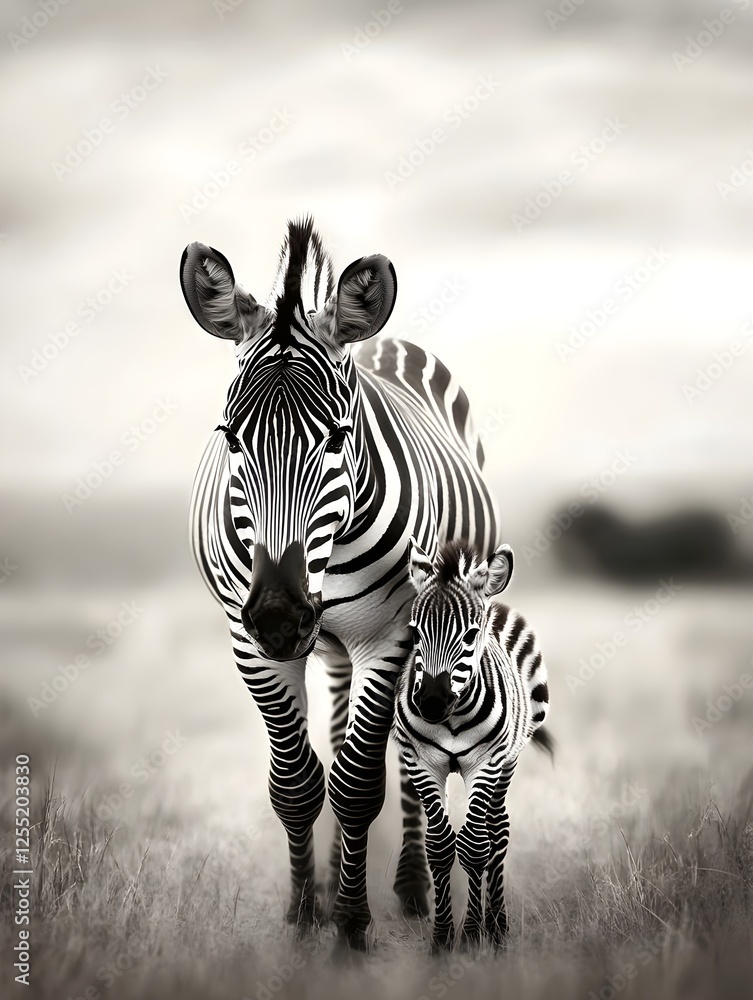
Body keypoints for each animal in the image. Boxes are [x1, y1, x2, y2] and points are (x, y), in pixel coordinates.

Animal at [180, 217, 499, 950]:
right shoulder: (247, 636)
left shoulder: (390, 632)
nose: (280, 615)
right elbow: (299, 783)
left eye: (336, 438)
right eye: (230, 439)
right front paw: (306, 912)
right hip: (327, 649)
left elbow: (358, 784)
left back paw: (409, 888)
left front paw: (353, 923)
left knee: (404, 758)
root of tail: (375, 338)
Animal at [393, 538, 551, 952]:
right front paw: (442, 936)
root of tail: (496, 602)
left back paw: (497, 926)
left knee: (498, 830)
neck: (451, 718)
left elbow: (475, 846)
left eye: (469, 635)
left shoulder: (486, 761)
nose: (431, 702)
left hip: (509, 760)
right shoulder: (420, 762)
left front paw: (472, 933)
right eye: (414, 634)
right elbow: (440, 846)